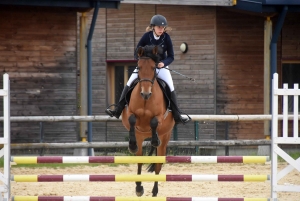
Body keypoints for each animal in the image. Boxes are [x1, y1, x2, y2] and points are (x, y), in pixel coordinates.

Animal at [120, 45, 175, 196]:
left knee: (157, 166)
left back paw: (155, 191)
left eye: (154, 67)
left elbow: (154, 122)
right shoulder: (130, 113)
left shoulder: (160, 117)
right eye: (138, 67)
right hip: (140, 137)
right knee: (140, 160)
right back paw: (139, 188)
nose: (145, 94)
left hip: (165, 139)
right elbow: (132, 119)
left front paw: (154, 140)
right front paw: (131, 145)